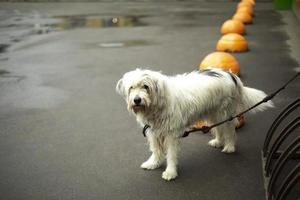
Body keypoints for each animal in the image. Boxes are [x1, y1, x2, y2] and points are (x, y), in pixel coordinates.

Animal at [115, 68, 274, 180]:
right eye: (131, 88)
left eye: (145, 87)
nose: (136, 100)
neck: (157, 105)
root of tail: (230, 75)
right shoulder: (153, 131)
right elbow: (156, 150)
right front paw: (153, 163)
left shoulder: (172, 134)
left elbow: (171, 154)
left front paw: (170, 172)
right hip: (213, 113)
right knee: (218, 128)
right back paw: (217, 141)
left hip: (224, 112)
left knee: (229, 130)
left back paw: (229, 147)